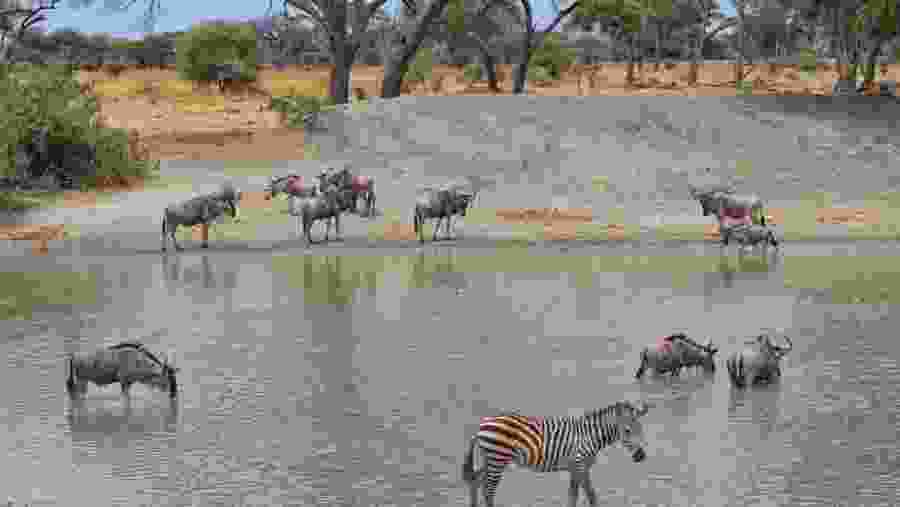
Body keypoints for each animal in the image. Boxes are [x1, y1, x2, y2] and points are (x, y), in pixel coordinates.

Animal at [462, 401, 651, 507]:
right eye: (627, 431)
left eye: (641, 430)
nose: (641, 457)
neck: (589, 435)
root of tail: (482, 425)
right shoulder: (580, 464)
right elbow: (591, 495)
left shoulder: (575, 467)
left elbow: (573, 496)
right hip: (497, 459)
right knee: (488, 490)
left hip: (490, 459)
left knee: (476, 481)